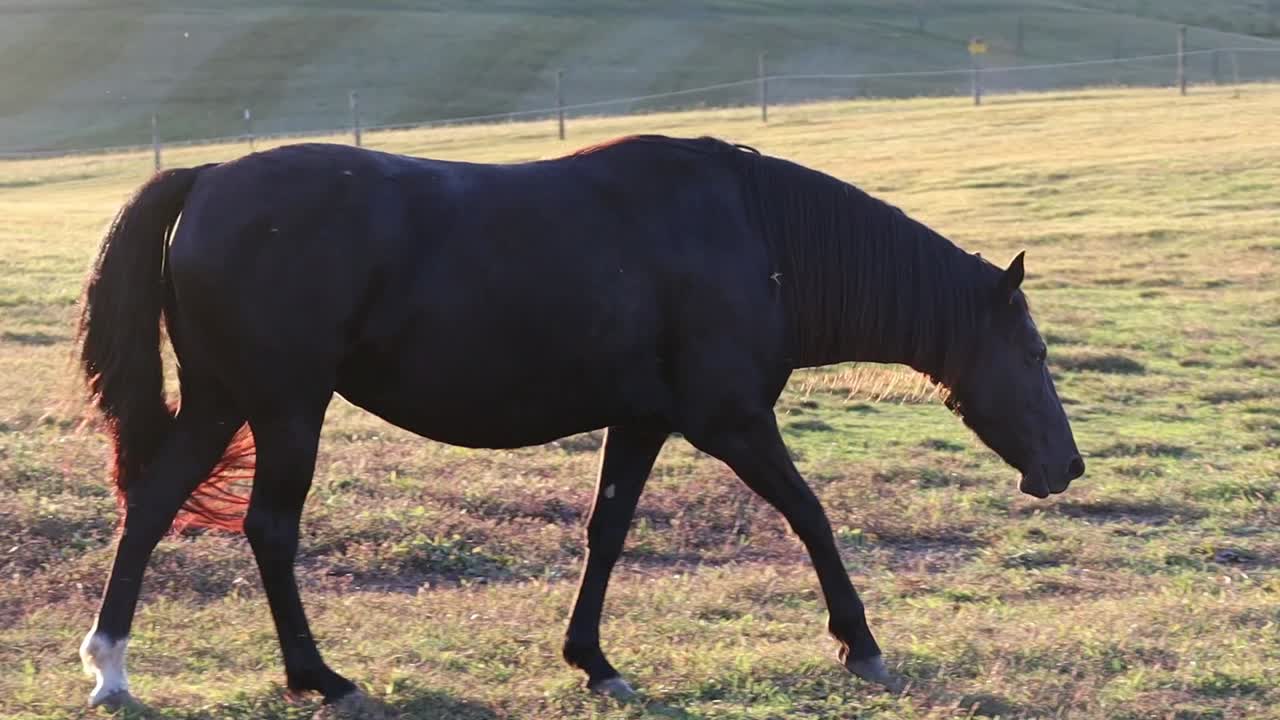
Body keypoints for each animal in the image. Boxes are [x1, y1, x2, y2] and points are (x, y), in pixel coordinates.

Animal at [76, 135, 1083, 708]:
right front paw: (860, 644)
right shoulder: (731, 421)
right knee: (270, 529)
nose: (1067, 467)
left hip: (224, 400)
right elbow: (811, 516)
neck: (759, 240)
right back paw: (317, 676)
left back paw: (113, 665)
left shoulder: (641, 421)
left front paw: (592, 660)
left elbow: (607, 533)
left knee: (152, 505)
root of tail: (209, 179)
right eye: (1034, 354)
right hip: (286, 407)